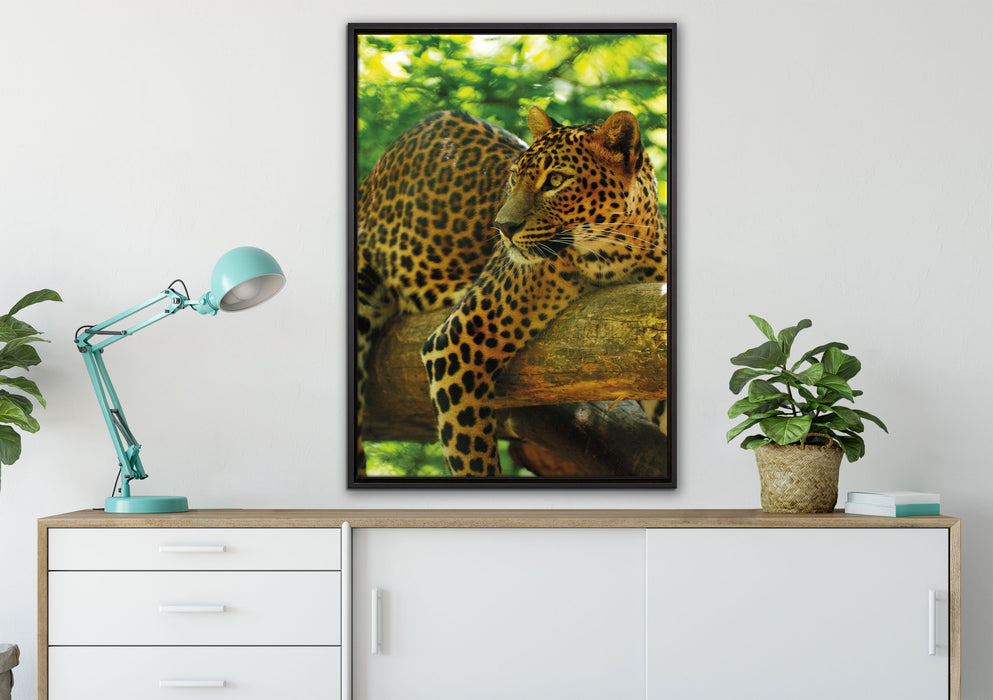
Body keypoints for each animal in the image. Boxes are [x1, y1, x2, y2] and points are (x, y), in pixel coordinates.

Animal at [356, 106, 668, 477]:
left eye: (555, 181)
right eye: (514, 178)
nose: (502, 227)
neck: (619, 255)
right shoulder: (456, 342)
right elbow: (472, 455)